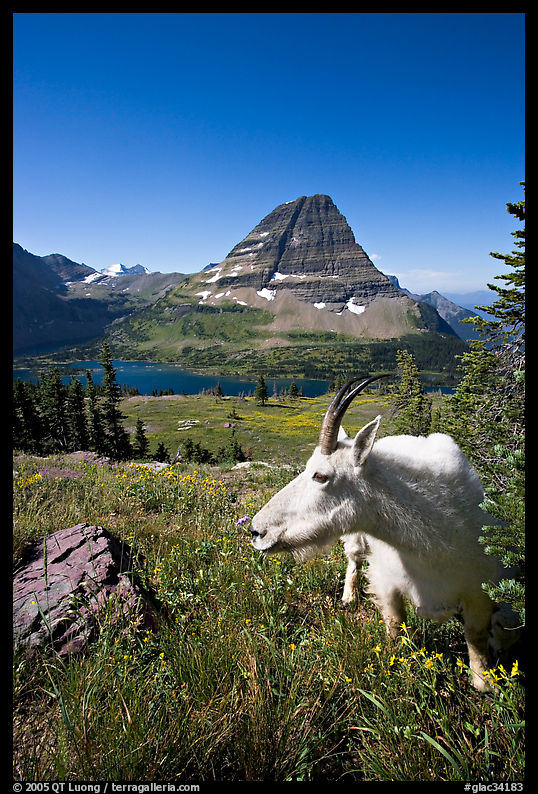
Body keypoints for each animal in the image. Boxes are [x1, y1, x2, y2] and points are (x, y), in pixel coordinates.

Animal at [250, 376, 520, 690]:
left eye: (320, 475)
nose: (256, 531)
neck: (431, 542)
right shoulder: (387, 580)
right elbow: (395, 624)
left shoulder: (480, 592)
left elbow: (476, 636)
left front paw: (485, 683)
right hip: (356, 538)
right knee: (354, 559)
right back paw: (349, 597)